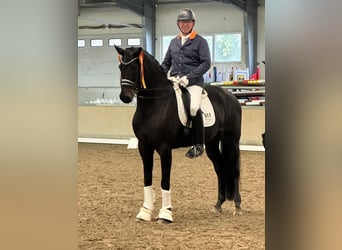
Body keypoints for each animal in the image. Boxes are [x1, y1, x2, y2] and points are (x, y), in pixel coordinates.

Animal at [114, 46, 240, 224]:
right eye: (120, 67)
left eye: (133, 67)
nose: (125, 97)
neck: (153, 105)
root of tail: (231, 97)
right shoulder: (144, 147)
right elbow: (147, 178)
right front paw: (145, 212)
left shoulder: (165, 149)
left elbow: (165, 180)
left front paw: (165, 214)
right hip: (213, 144)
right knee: (220, 169)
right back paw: (218, 205)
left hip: (231, 140)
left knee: (234, 170)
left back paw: (237, 207)